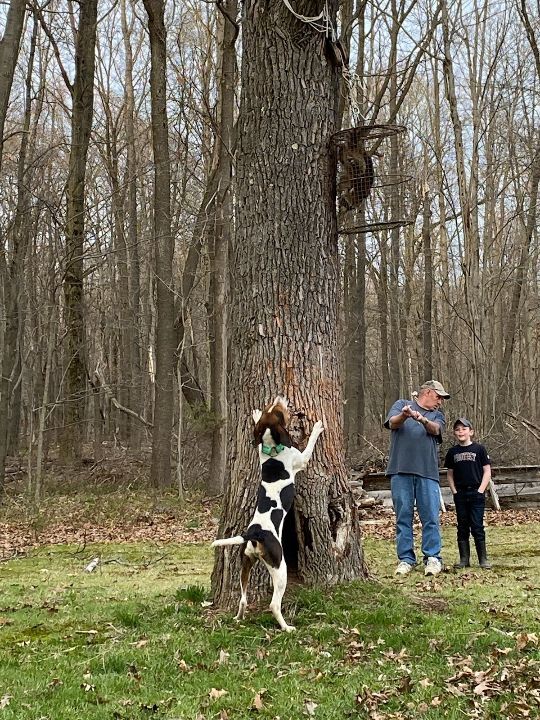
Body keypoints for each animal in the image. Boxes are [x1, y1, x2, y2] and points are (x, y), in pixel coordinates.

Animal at [212, 396, 324, 632]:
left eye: (269, 409)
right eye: (279, 411)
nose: (280, 398)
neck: (273, 449)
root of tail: (254, 534)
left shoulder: (259, 450)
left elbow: (256, 442)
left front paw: (254, 416)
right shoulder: (301, 459)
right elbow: (309, 444)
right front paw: (317, 427)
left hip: (245, 563)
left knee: (243, 599)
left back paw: (239, 618)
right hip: (280, 569)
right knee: (274, 604)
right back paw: (287, 627)